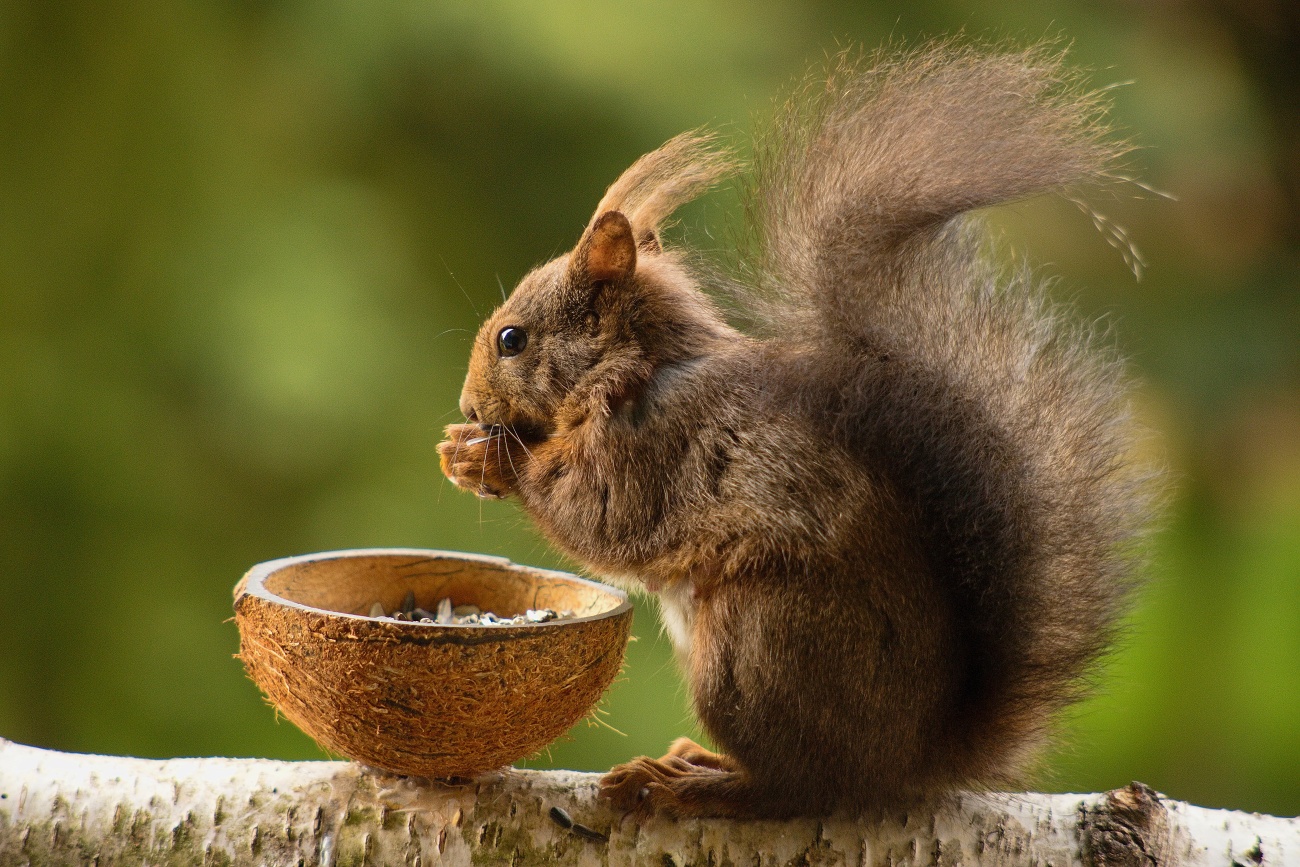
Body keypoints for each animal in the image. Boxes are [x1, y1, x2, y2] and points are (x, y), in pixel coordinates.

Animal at [439, 45, 1159, 821]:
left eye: (512, 339)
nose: (469, 405)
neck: (640, 368)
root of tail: (906, 763)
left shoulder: (657, 446)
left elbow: (595, 515)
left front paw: (492, 462)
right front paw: (461, 451)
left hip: (758, 646)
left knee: (798, 786)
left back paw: (690, 783)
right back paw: (698, 760)